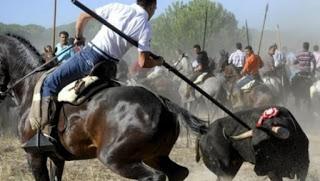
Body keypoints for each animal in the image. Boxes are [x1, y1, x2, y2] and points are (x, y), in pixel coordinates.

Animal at [0, 34, 208, 181]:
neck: (30, 85)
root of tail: (162, 103)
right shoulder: (56, 157)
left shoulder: (35, 156)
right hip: (155, 155)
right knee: (178, 173)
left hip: (115, 157)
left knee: (155, 177)